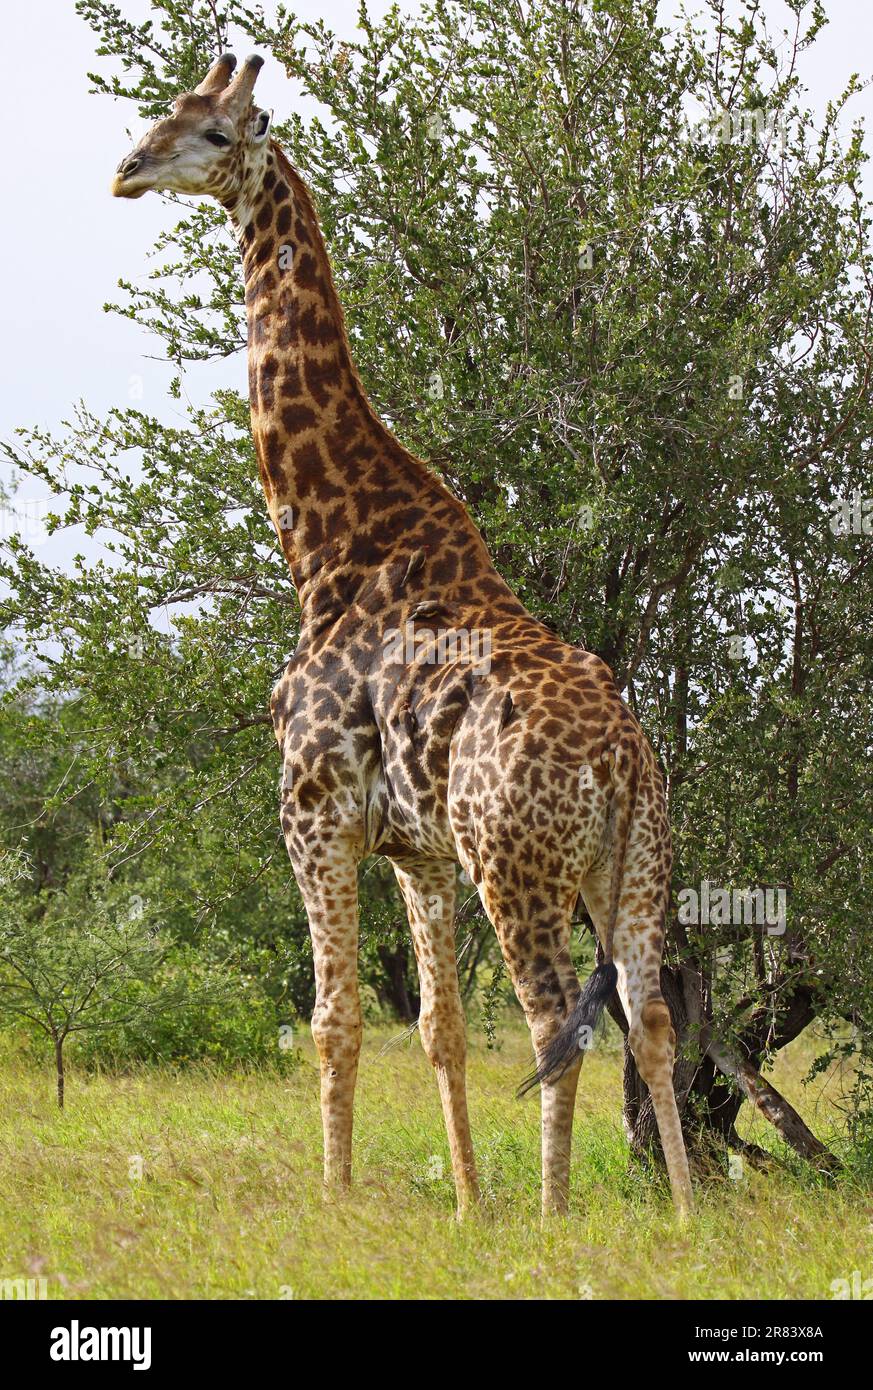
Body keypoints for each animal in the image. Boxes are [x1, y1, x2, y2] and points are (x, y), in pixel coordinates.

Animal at [112, 52, 693, 1218]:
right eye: (162, 114)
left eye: (212, 131)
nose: (127, 168)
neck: (331, 546)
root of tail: (620, 757)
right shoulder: (417, 854)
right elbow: (436, 1029)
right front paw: (468, 1204)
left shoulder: (314, 813)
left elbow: (333, 1023)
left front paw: (337, 1200)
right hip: (633, 863)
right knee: (647, 1015)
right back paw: (692, 1212)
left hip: (517, 863)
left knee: (554, 1019)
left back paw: (555, 1216)